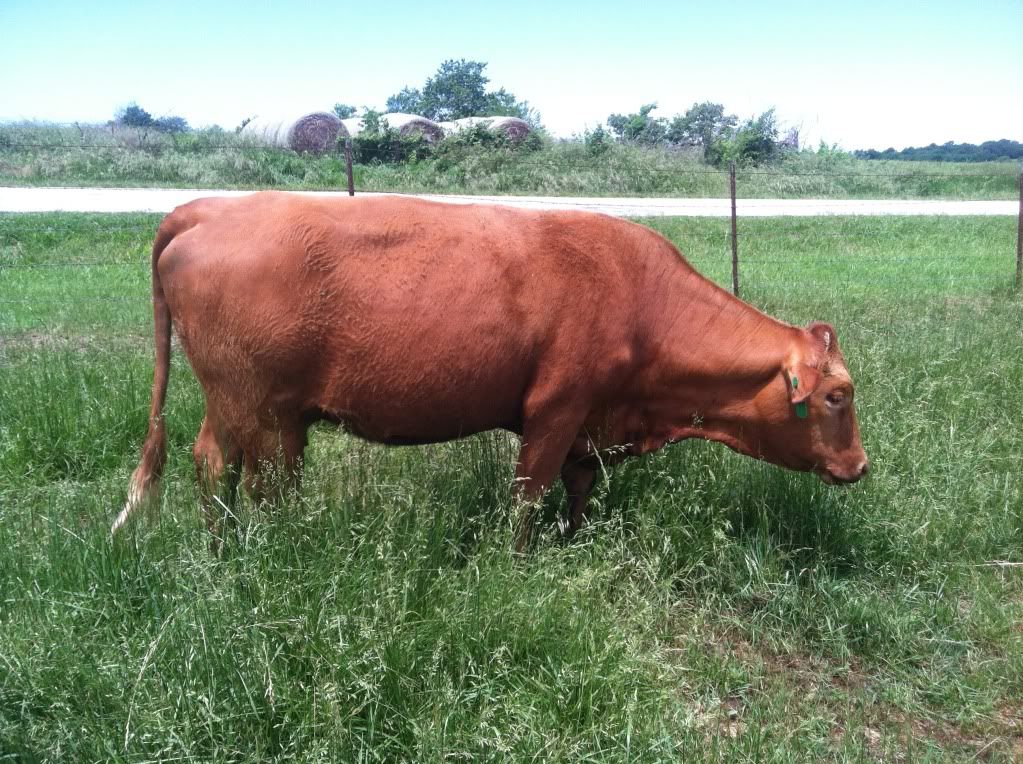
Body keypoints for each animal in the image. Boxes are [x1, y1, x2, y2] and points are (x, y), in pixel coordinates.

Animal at [113, 192, 868, 550]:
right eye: (837, 395)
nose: (859, 467)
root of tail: (211, 207)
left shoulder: (590, 426)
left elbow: (578, 490)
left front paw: (572, 541)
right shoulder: (555, 410)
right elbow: (527, 496)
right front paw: (519, 562)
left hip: (250, 408)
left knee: (227, 468)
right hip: (258, 408)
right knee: (245, 477)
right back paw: (263, 554)